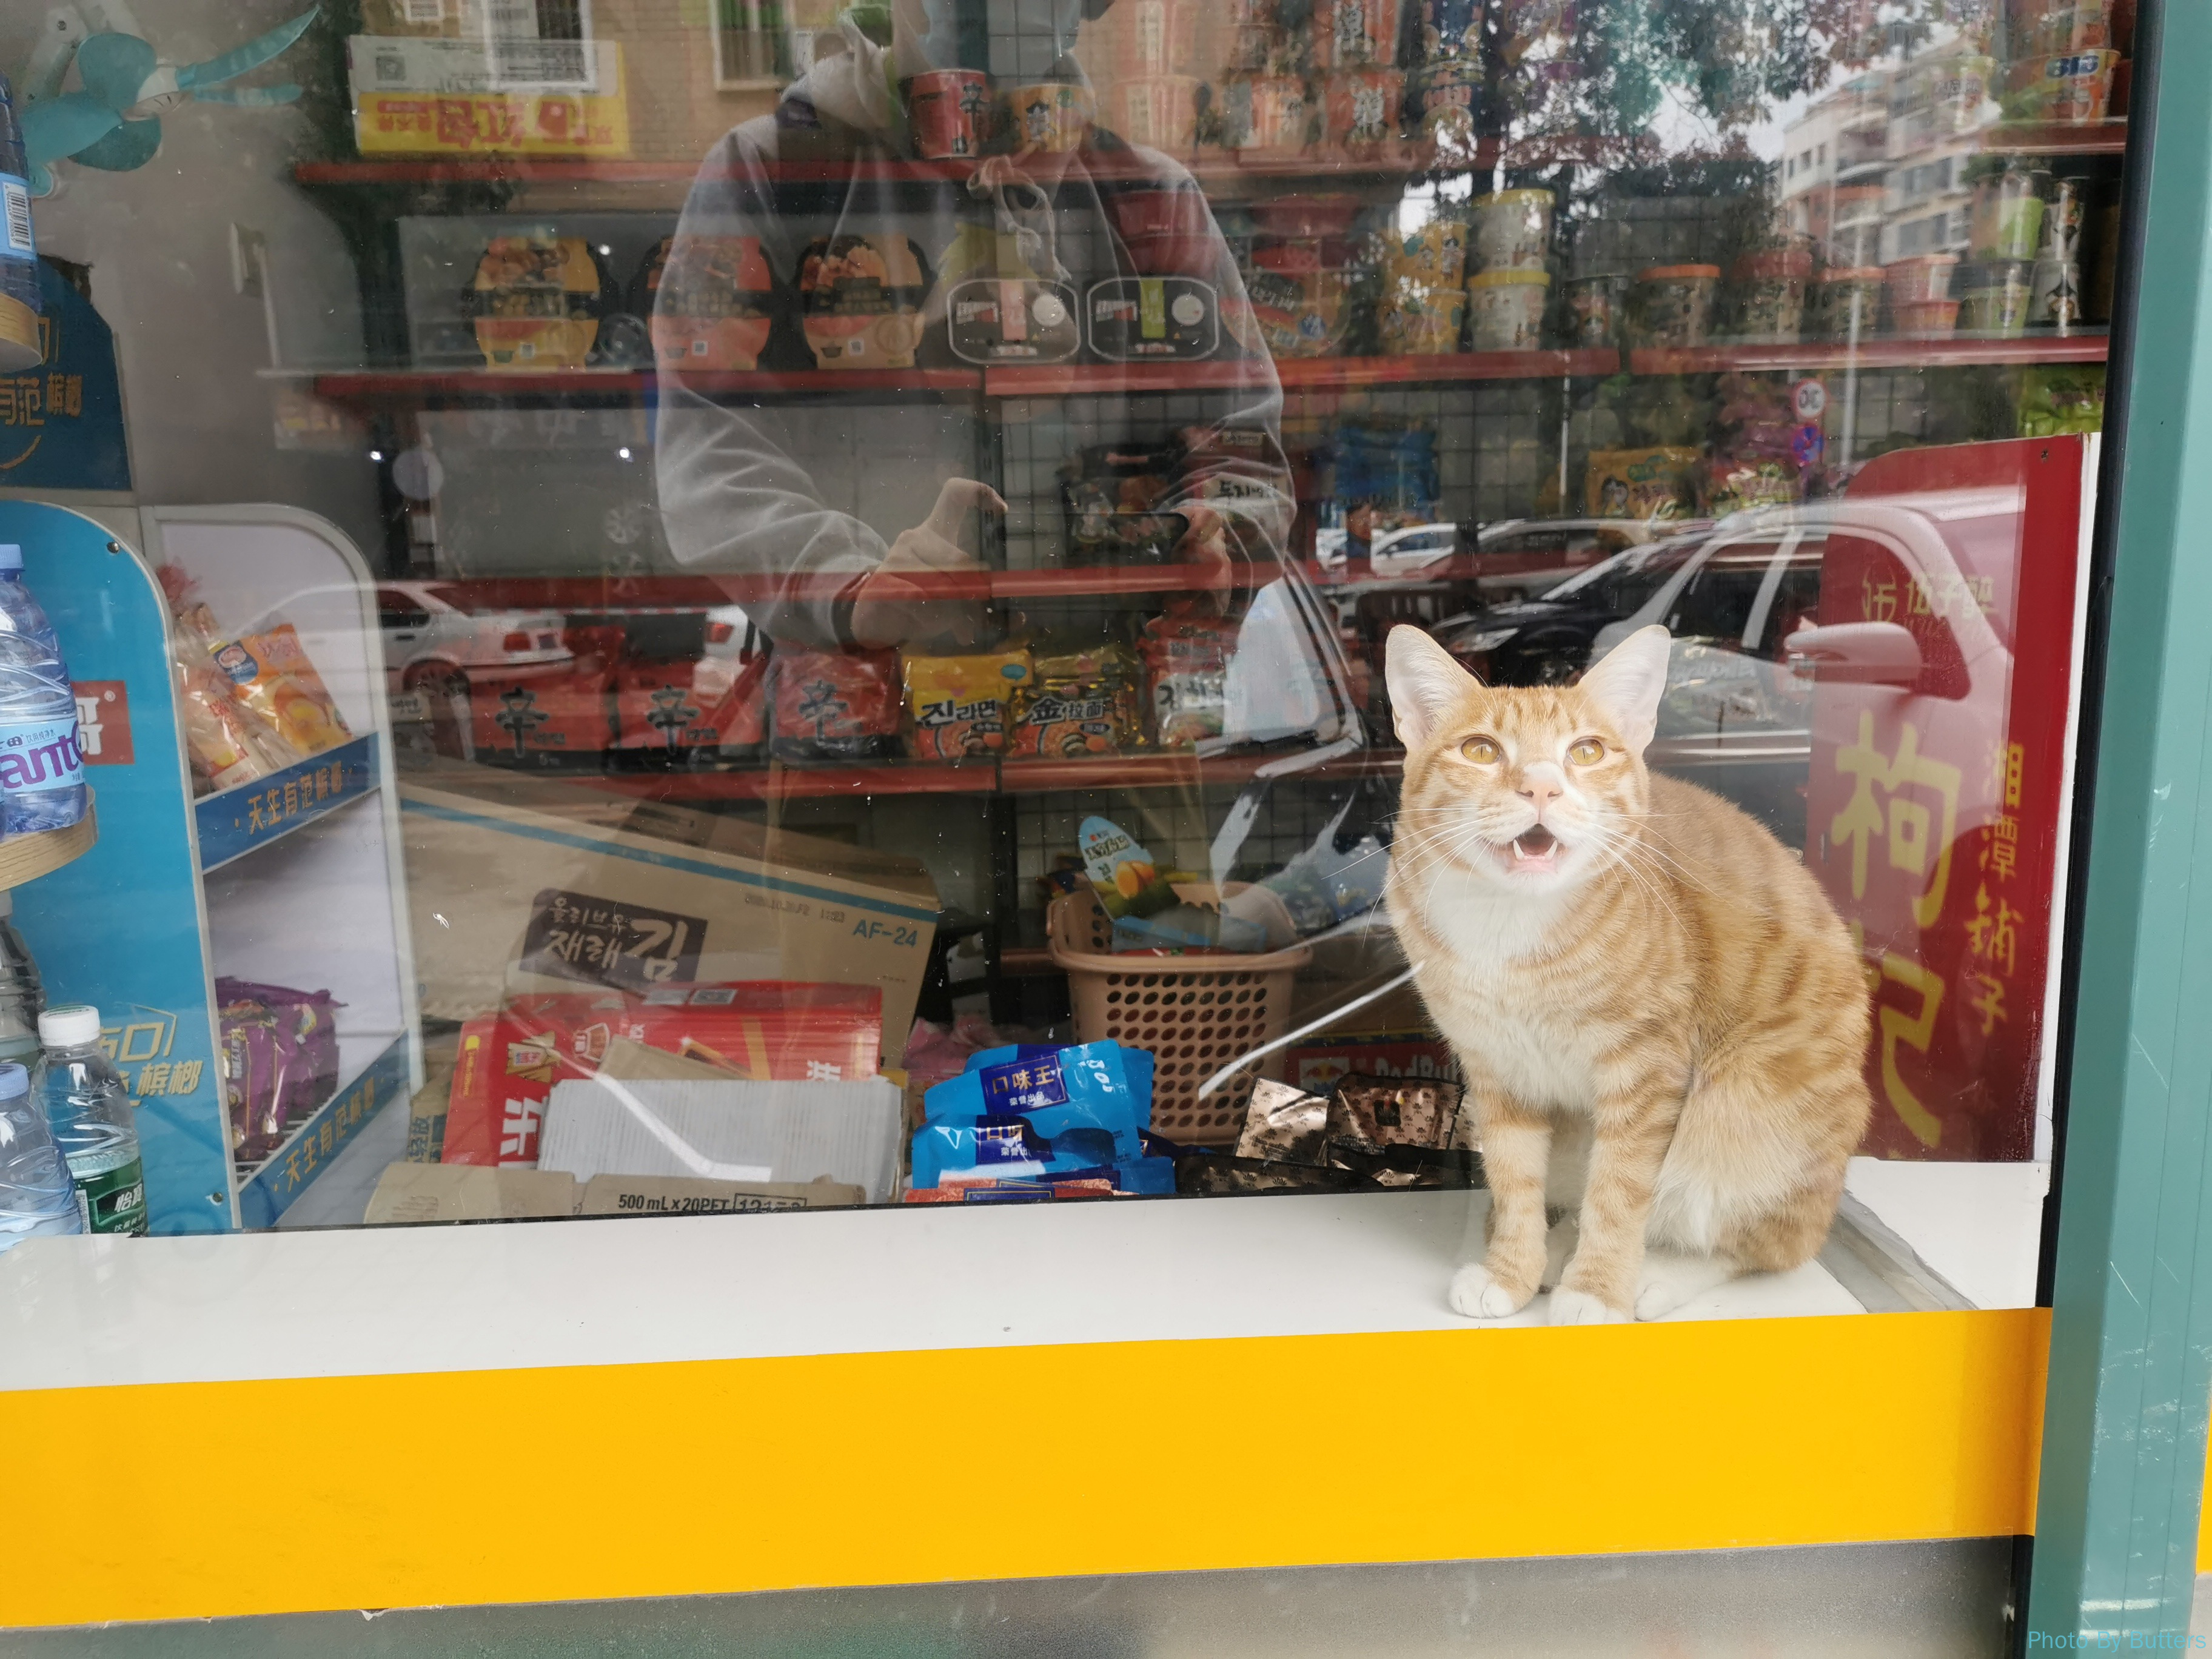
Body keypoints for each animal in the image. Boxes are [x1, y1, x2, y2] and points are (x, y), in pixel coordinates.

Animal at [1382, 623, 1872, 1324]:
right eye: (1480, 750)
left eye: (1586, 752)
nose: (1541, 789)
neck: (1510, 924)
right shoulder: (1495, 1072)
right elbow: (1514, 1181)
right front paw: (1511, 1271)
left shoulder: (1647, 1072)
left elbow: (1619, 1194)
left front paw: (1597, 1290)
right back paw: (1557, 1249)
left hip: (1742, 1110)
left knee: (1765, 1240)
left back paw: (1656, 1272)